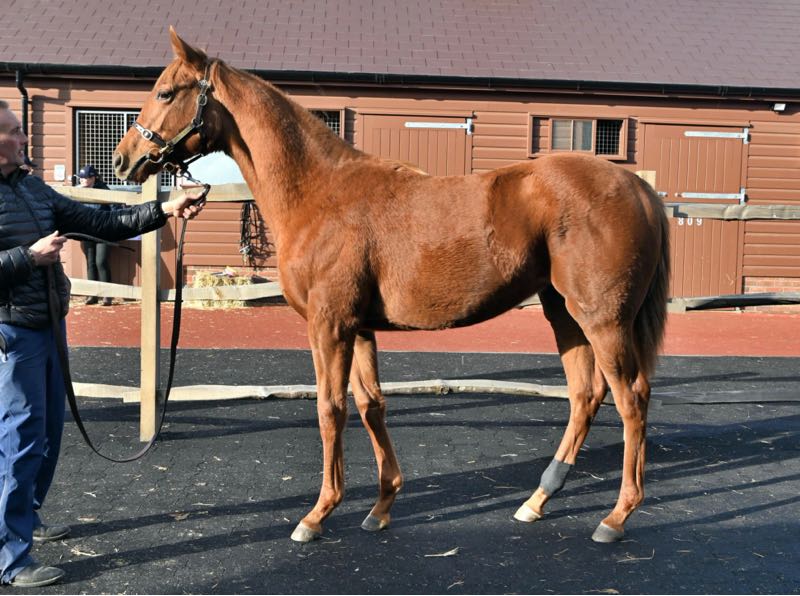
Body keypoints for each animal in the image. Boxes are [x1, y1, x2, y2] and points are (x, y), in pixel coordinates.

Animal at [114, 28, 670, 545]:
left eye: (166, 92)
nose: (123, 159)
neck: (319, 193)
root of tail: (638, 187)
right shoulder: (358, 328)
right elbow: (370, 406)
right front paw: (380, 507)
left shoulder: (330, 326)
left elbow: (330, 409)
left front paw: (317, 515)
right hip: (563, 312)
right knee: (585, 394)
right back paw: (538, 499)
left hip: (602, 318)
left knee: (631, 398)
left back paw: (616, 516)